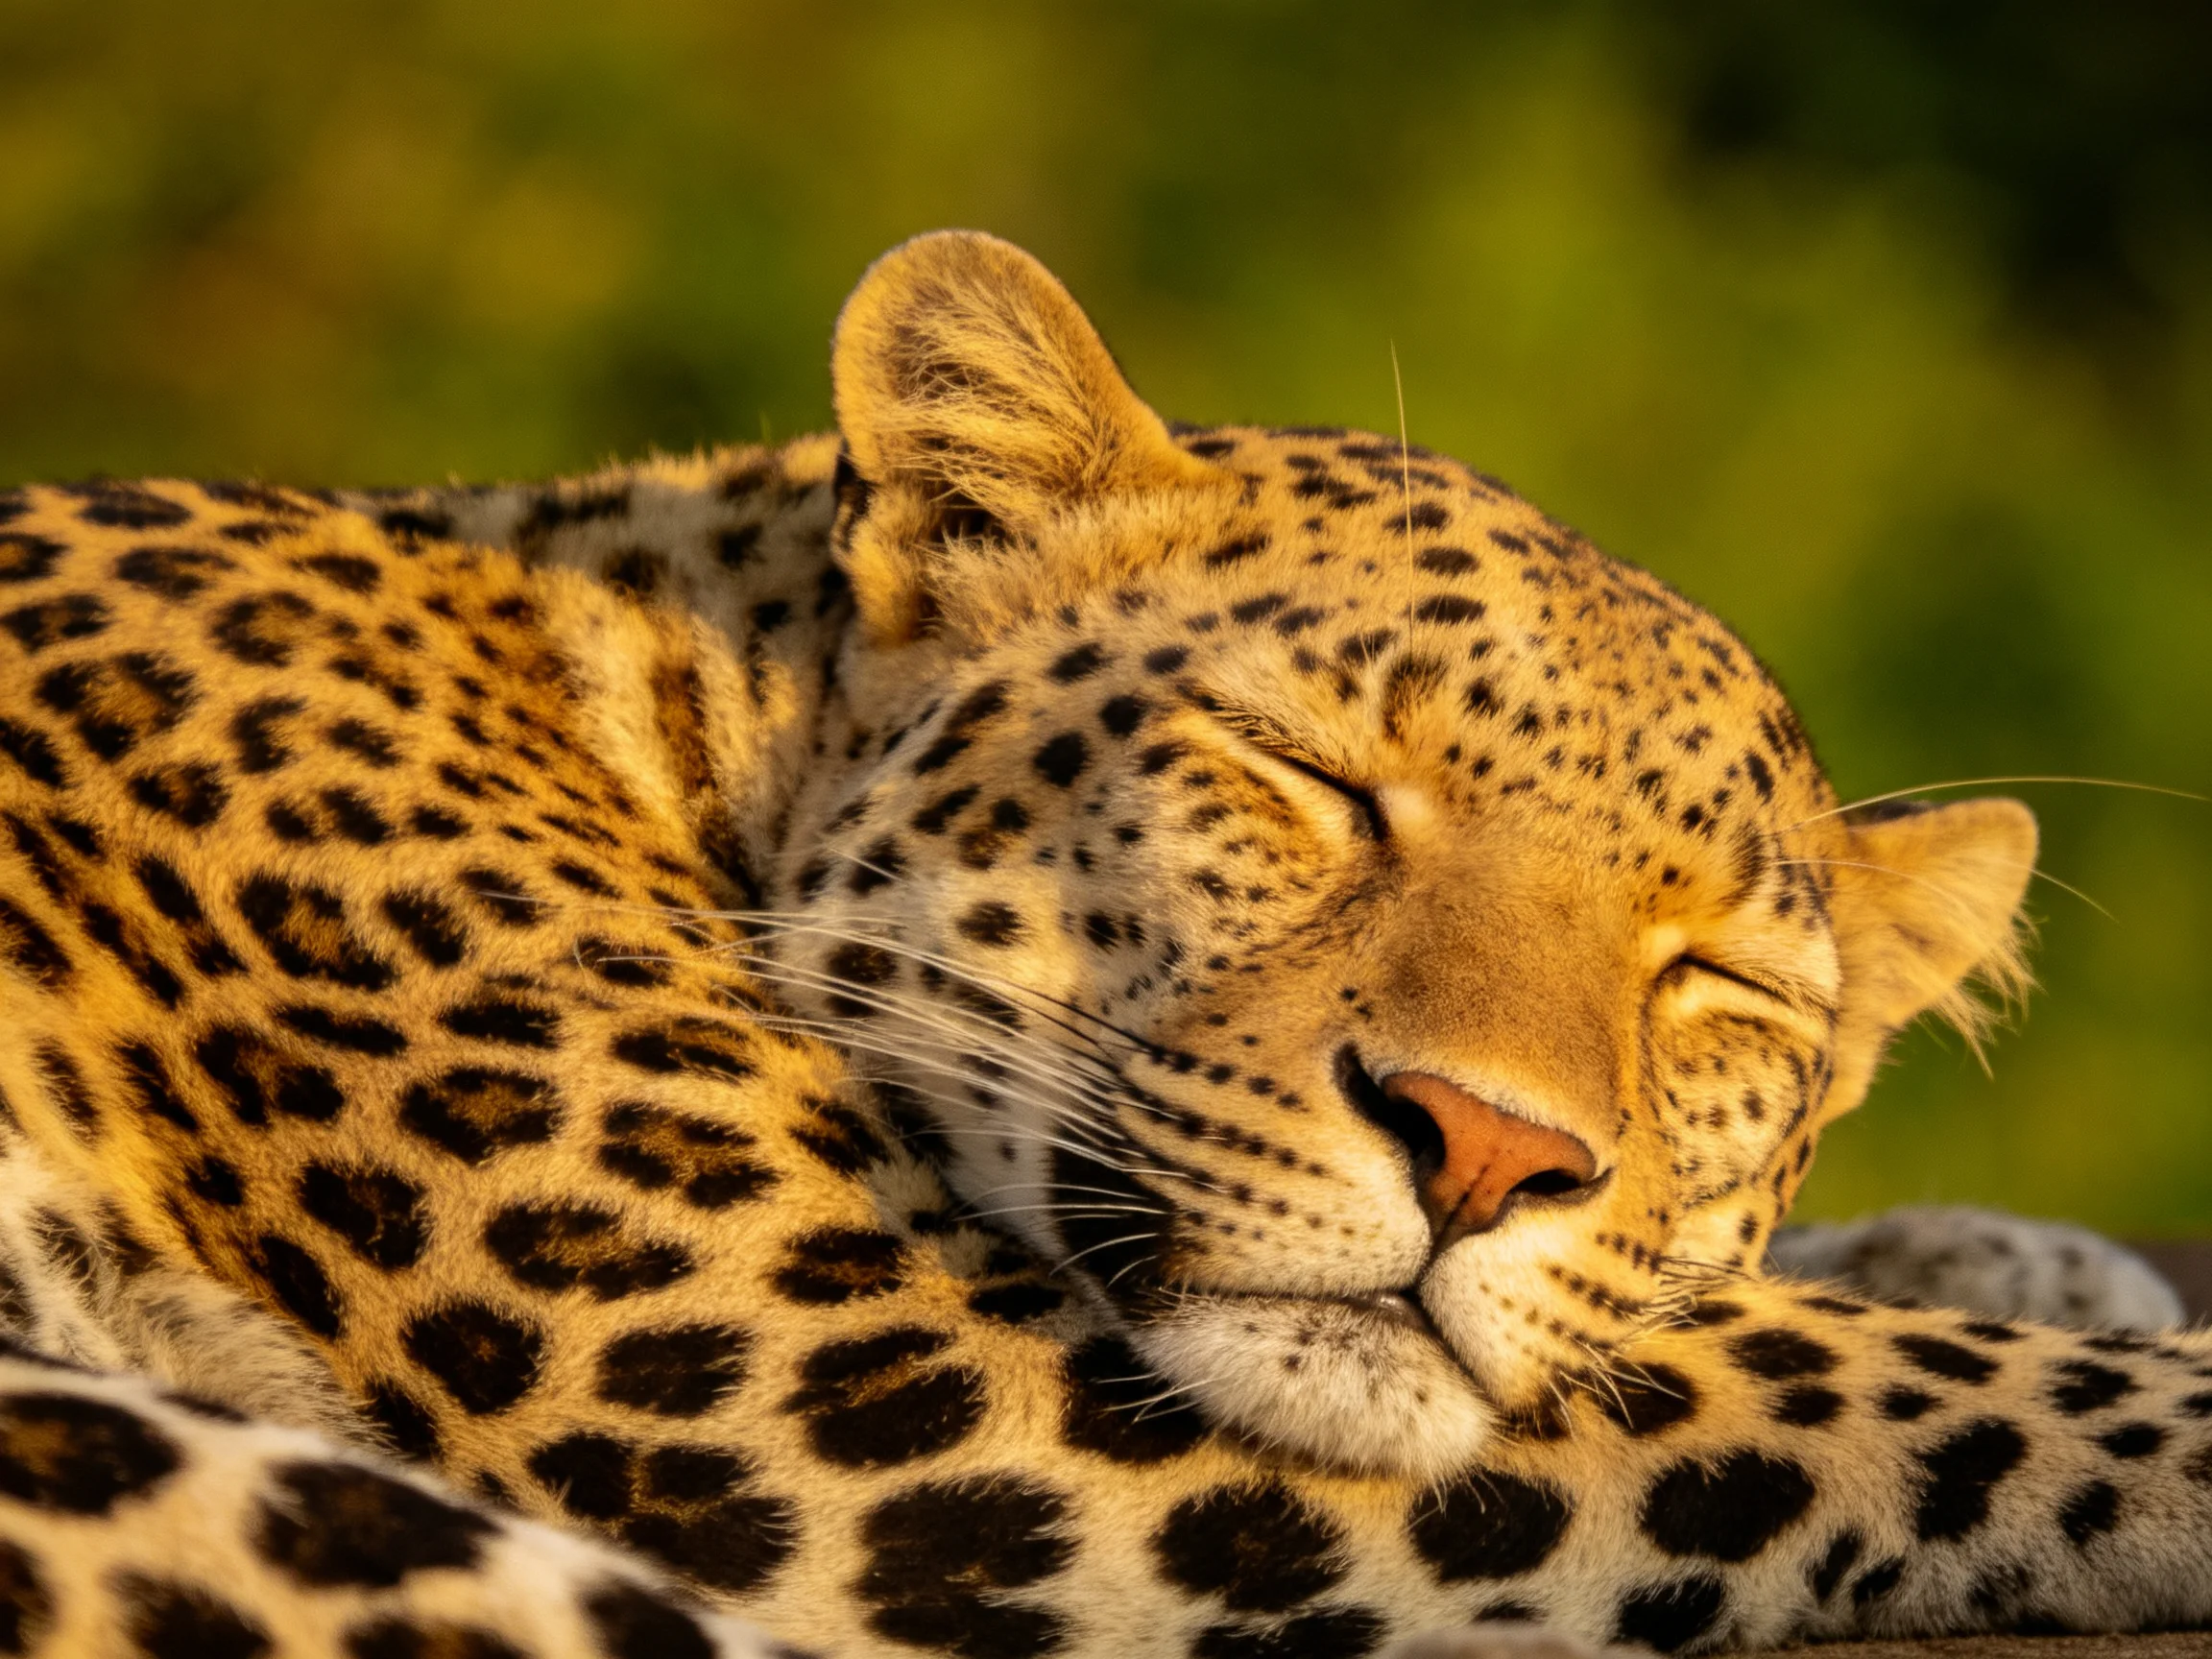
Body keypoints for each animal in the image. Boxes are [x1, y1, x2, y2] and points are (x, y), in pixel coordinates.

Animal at [0, 228, 2205, 1659]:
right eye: (1309, 778)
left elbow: (1719, 1295)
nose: (1485, 1150)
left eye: (1709, 987)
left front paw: (2034, 1251)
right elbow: (1816, 1375)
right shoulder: (838, 1358)